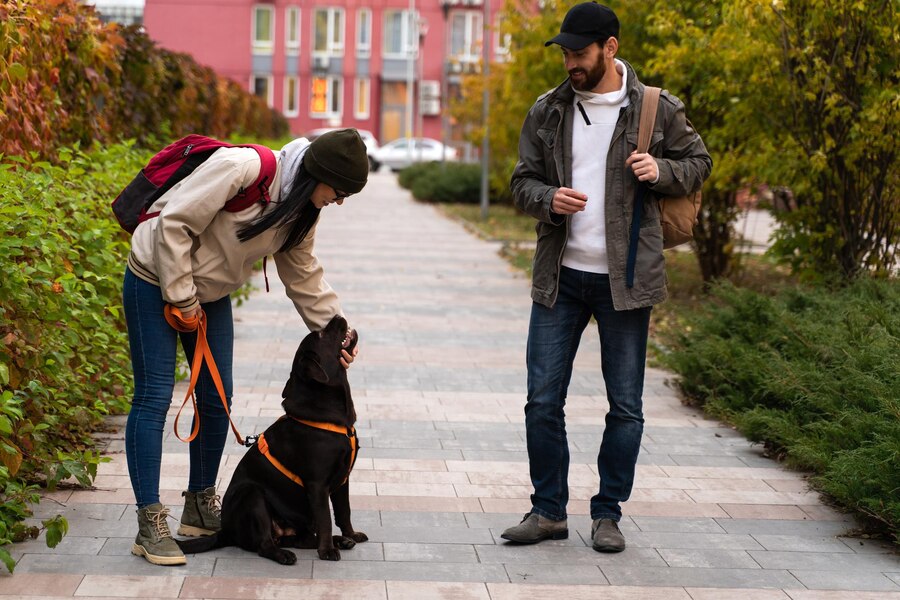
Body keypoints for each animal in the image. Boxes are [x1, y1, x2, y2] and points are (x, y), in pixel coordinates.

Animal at [178, 316, 368, 564]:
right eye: (320, 334)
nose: (336, 316)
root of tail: (225, 531)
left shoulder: (343, 479)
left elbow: (344, 512)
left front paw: (350, 535)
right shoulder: (317, 484)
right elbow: (326, 518)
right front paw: (327, 551)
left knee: (302, 539)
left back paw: (339, 540)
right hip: (252, 495)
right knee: (264, 544)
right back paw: (286, 554)